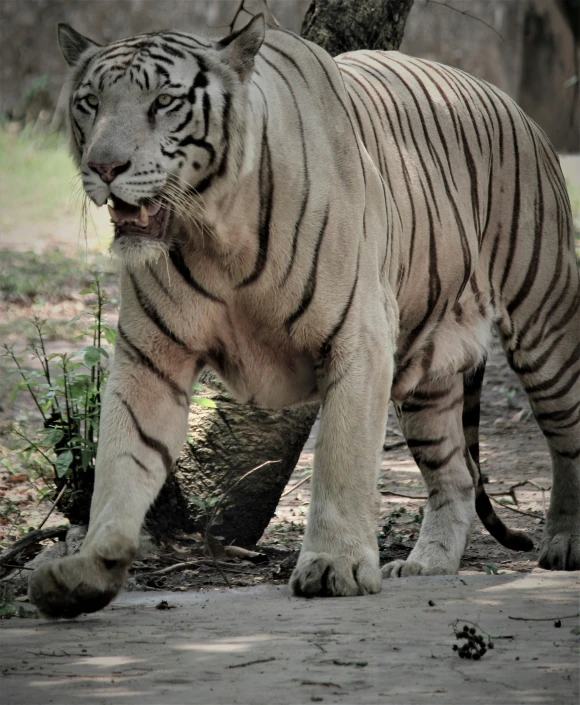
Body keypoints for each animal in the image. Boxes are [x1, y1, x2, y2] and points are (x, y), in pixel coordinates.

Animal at [28, 16, 580, 620]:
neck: (213, 234)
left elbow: (342, 460)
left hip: (546, 325)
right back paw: (426, 564)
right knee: (455, 474)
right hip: (428, 377)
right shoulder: (150, 356)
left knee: (569, 433)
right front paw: (89, 568)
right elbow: (122, 460)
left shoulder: (360, 339)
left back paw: (565, 542)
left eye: (164, 101)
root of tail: (512, 102)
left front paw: (335, 565)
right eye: (90, 102)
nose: (103, 167)